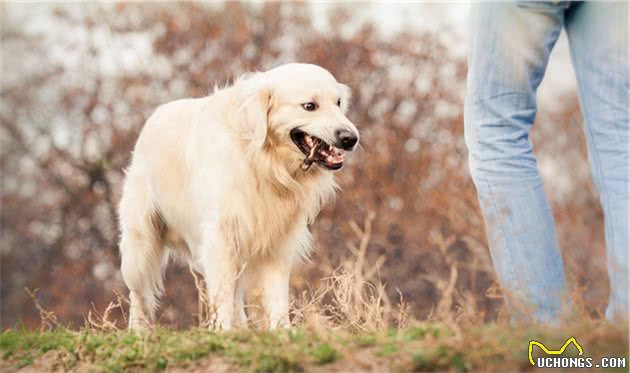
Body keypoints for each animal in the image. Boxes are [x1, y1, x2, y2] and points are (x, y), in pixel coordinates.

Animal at [117, 63, 360, 328]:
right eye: (309, 106)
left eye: (338, 102)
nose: (350, 138)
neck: (264, 162)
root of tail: (153, 116)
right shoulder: (220, 237)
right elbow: (222, 296)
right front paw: (222, 330)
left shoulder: (278, 243)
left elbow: (276, 298)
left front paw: (282, 330)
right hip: (140, 246)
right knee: (139, 296)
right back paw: (138, 330)